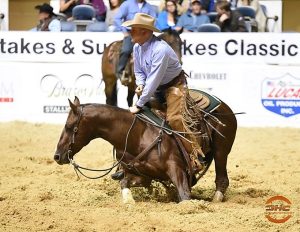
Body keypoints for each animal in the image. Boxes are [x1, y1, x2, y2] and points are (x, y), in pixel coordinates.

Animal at [53, 96, 237, 203]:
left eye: (69, 127)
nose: (57, 156)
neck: (137, 135)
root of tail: (225, 105)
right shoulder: (143, 175)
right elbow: (124, 183)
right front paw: (129, 201)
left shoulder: (176, 169)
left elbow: (184, 197)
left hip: (221, 151)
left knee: (222, 178)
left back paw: (216, 199)